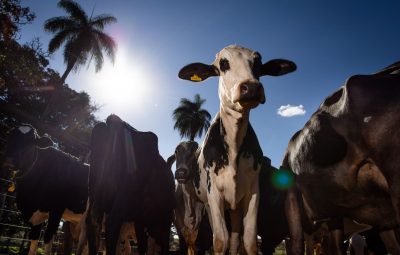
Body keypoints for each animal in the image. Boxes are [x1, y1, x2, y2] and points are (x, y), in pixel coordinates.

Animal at [3, 124, 88, 254]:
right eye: (10, 137)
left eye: (31, 142)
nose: (9, 160)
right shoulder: (35, 217)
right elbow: (33, 244)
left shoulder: (56, 210)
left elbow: (48, 239)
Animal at [86, 114, 175, 255]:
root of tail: (115, 121)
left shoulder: (140, 220)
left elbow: (143, 245)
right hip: (125, 192)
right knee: (113, 222)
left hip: (96, 190)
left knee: (93, 222)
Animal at [178, 44, 296, 254]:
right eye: (223, 63)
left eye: (258, 63)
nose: (251, 87)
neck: (233, 147)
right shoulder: (214, 193)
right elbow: (219, 241)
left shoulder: (252, 193)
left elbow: (248, 240)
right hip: (208, 204)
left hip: (235, 207)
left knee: (234, 239)